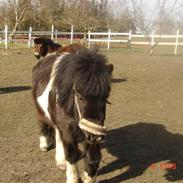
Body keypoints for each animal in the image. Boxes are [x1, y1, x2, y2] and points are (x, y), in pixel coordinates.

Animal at [32, 48, 113, 182]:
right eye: (80, 97)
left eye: (105, 96)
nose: (95, 137)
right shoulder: (69, 129)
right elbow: (72, 155)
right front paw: (73, 178)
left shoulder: (88, 131)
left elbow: (93, 157)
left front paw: (88, 177)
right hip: (40, 110)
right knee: (43, 123)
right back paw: (44, 145)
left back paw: (60, 161)